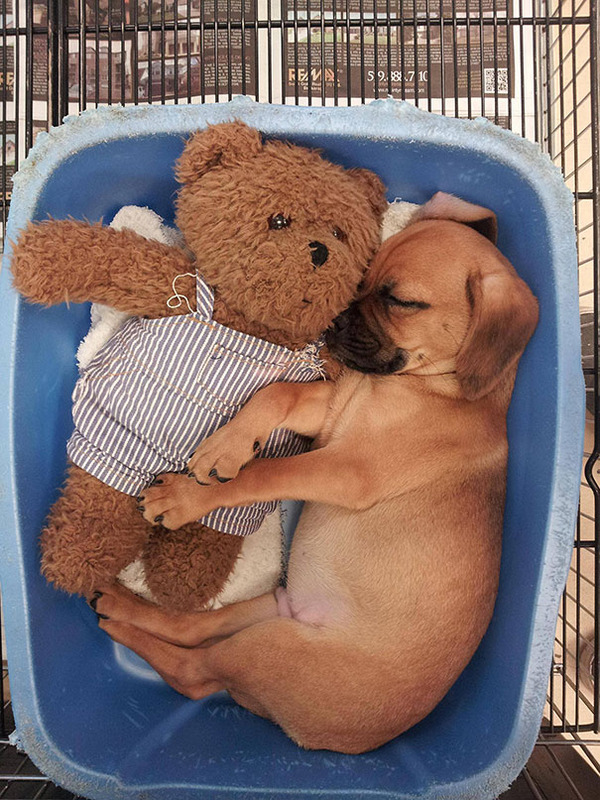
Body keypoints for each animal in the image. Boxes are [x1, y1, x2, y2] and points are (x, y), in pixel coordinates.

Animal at [92, 194, 540, 756]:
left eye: (403, 303)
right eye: (365, 274)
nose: (334, 325)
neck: (434, 389)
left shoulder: (344, 469)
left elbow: (265, 474)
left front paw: (185, 496)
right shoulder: (329, 411)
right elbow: (276, 395)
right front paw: (226, 446)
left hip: (267, 650)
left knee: (194, 673)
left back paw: (127, 630)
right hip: (274, 611)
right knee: (194, 632)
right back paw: (118, 604)